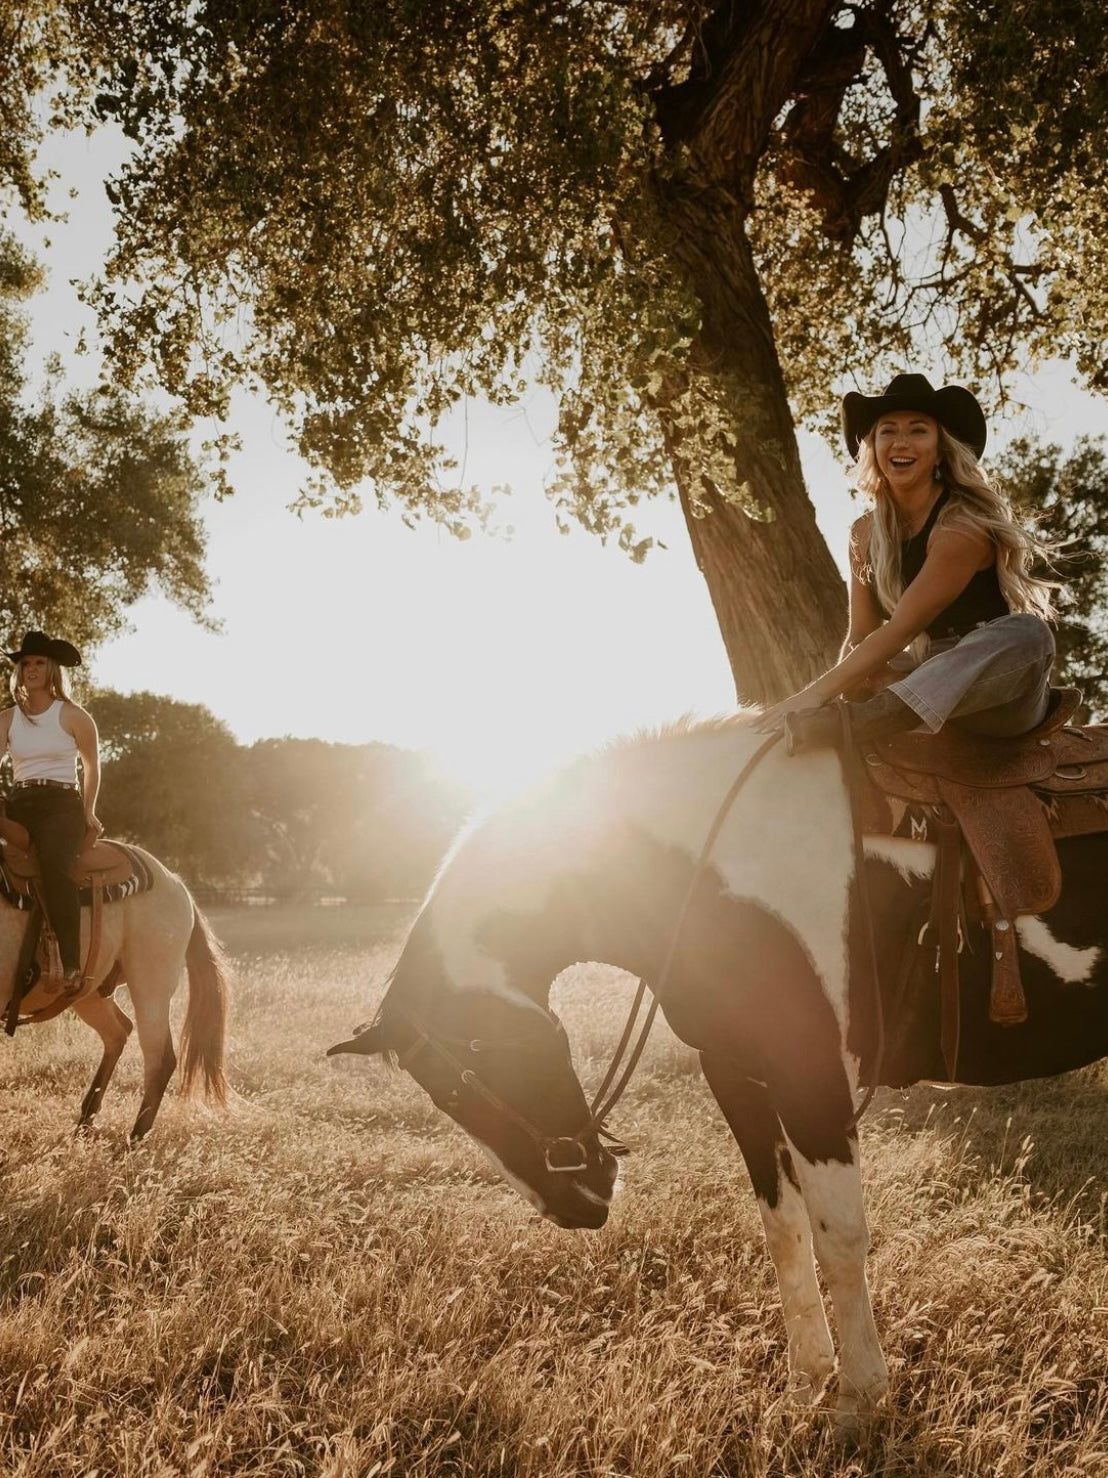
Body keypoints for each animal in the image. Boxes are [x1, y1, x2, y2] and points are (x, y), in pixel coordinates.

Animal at [0, 845, 230, 1141]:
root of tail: (177, 884)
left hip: (150, 988)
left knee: (159, 1058)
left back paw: (135, 1138)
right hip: (90, 995)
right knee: (118, 1032)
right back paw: (85, 1123)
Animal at [333, 718, 1108, 1430]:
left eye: (470, 1067)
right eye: (445, 1096)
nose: (575, 1207)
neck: (713, 875)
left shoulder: (811, 1080)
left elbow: (840, 1236)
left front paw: (859, 1399)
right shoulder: (737, 1077)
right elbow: (785, 1231)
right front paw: (807, 1385)